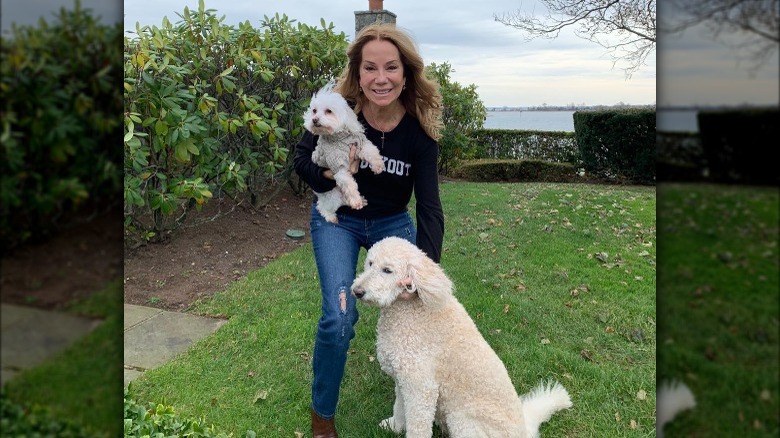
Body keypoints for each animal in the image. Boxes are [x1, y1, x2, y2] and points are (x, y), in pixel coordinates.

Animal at [302, 84, 384, 224]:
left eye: (328, 111)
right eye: (314, 111)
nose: (314, 119)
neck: (339, 138)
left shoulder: (359, 143)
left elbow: (371, 151)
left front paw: (378, 166)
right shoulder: (338, 166)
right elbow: (349, 184)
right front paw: (356, 201)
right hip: (332, 196)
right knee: (322, 206)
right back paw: (331, 216)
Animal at [354, 238, 572, 436]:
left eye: (387, 270)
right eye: (370, 263)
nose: (357, 291)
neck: (409, 311)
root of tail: (525, 431)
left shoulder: (422, 386)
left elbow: (418, 426)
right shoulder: (403, 377)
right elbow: (399, 406)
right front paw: (395, 427)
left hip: (462, 419)